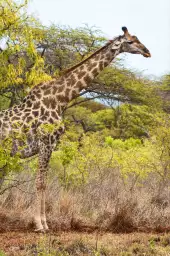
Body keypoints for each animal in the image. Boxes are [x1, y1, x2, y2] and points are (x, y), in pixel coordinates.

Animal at [0, 27, 151, 231]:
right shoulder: (46, 143)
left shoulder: (50, 145)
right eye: (130, 42)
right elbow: (40, 183)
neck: (61, 99)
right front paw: (41, 224)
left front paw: (44, 223)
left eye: (138, 39)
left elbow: (43, 182)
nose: (147, 52)